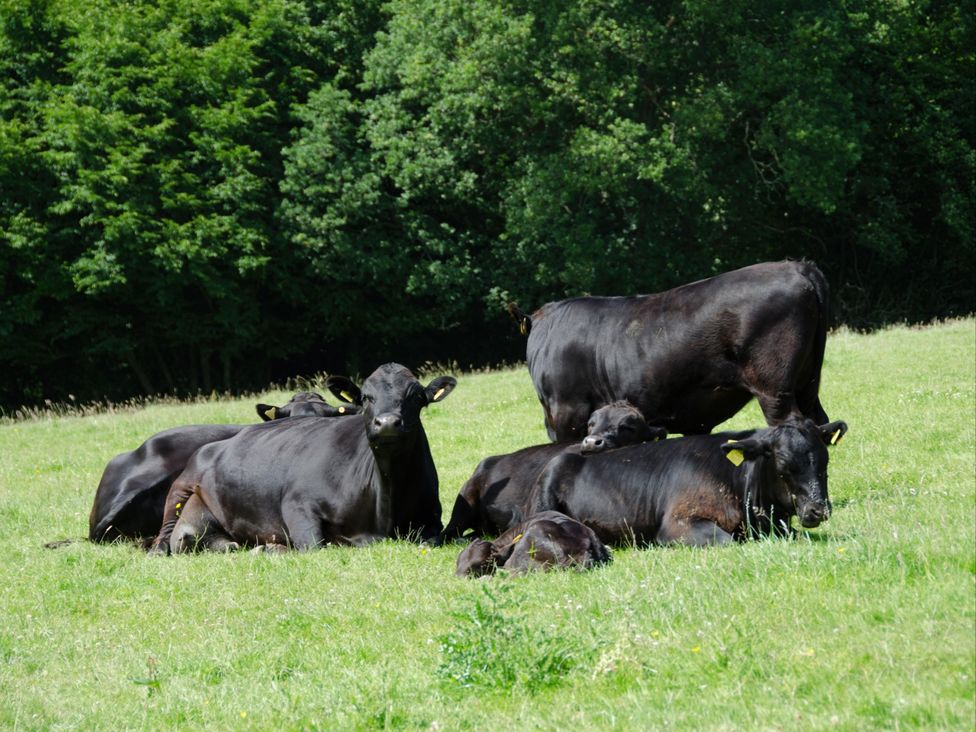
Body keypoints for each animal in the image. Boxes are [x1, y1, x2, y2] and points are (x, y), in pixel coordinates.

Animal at [149, 364, 455, 554]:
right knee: (165, 535)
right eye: (367, 397)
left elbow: (433, 538)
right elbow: (314, 546)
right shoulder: (297, 504)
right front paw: (274, 548)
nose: (388, 422)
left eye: (416, 396)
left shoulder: (433, 518)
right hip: (181, 487)